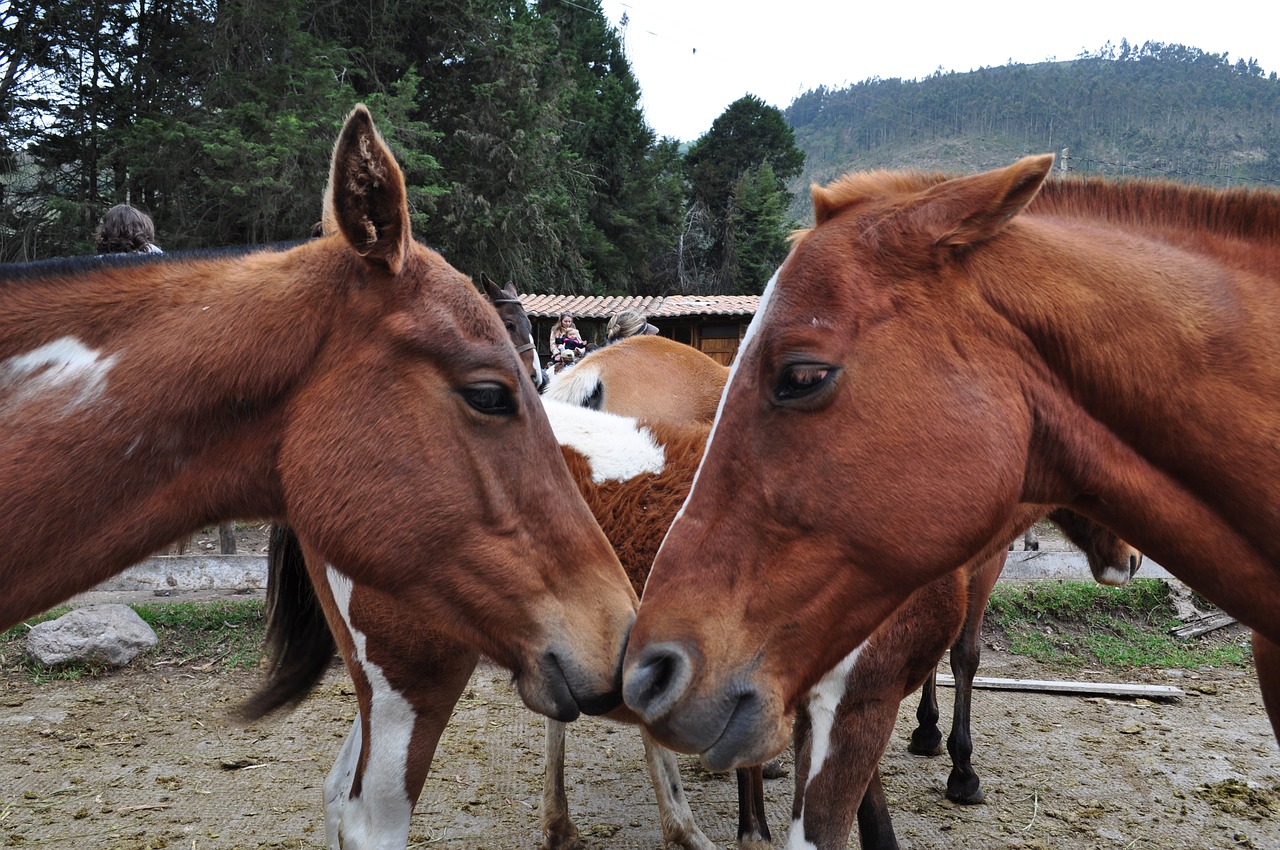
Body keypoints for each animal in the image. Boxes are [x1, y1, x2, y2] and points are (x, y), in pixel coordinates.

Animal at [624, 152, 1280, 768]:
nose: (648, 671)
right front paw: (951, 752)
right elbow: (957, 650)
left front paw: (940, 740)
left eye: (800, 376)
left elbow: (958, 651)